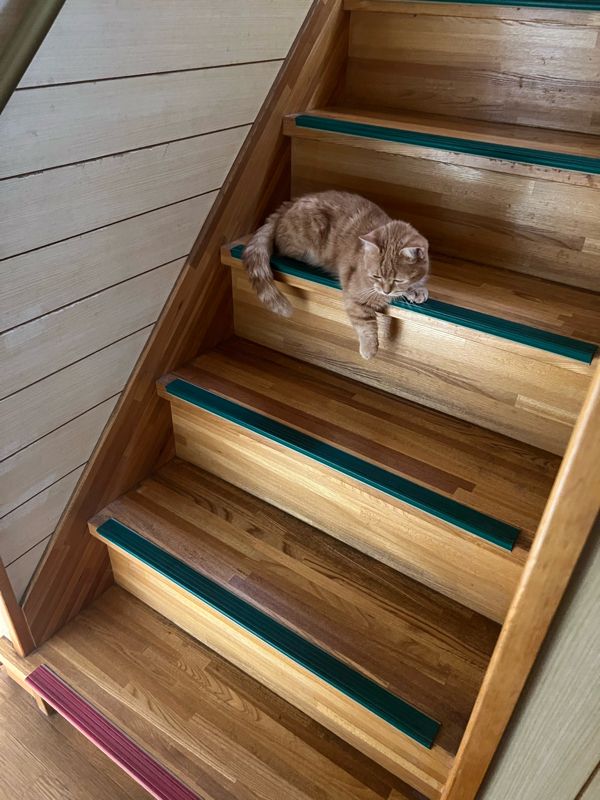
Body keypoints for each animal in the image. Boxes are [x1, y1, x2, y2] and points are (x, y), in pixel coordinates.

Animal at [243, 190, 430, 359]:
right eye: (376, 276)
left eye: (398, 279)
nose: (386, 291)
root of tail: (291, 202)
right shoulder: (354, 297)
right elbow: (366, 324)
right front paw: (369, 349)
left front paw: (416, 290)